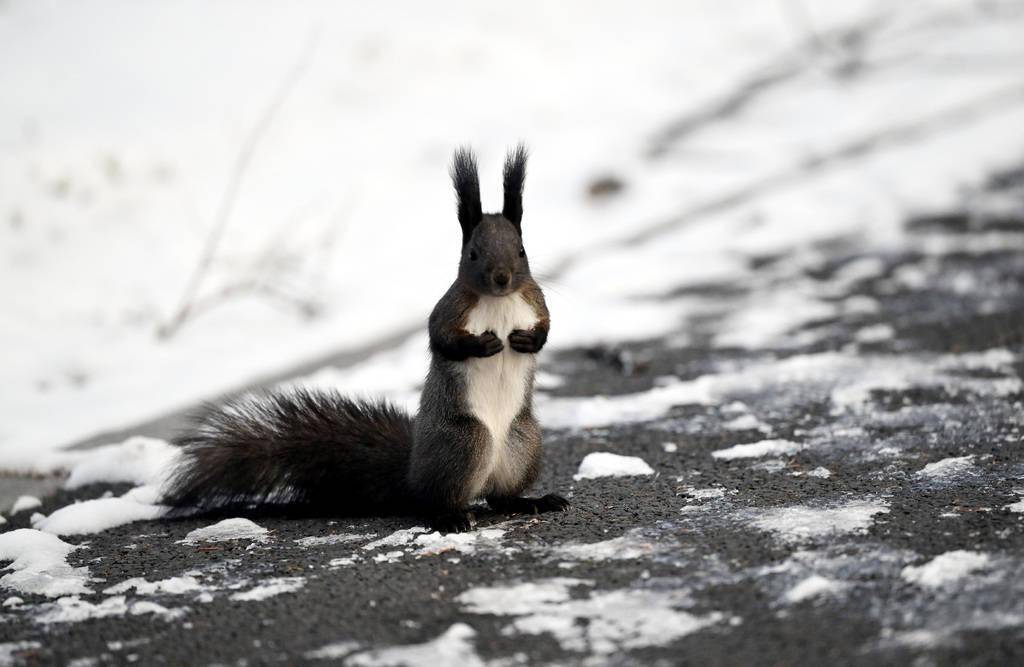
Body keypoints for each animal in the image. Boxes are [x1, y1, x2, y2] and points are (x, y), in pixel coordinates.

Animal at [163, 144, 573, 532]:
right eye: (472, 253)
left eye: (521, 250)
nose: (502, 278)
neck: (499, 301)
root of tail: (412, 475)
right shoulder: (450, 308)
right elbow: (440, 338)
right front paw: (484, 345)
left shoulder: (534, 300)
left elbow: (546, 326)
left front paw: (527, 342)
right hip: (465, 442)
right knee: (438, 500)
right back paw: (450, 516)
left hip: (523, 442)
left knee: (501, 497)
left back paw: (533, 501)